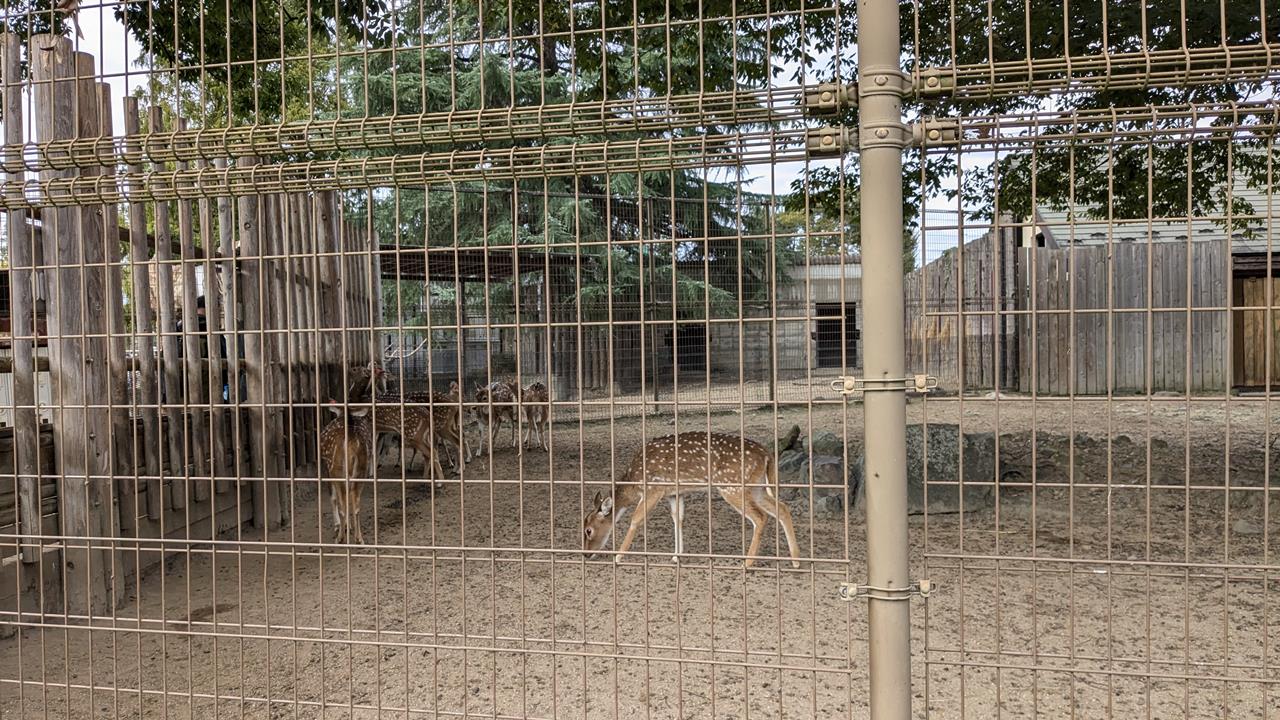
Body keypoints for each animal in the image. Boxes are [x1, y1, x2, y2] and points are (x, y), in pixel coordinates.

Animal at [318, 399, 376, 540]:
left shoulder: (326, 467)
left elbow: (333, 497)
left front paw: (338, 526)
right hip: (362, 469)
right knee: (355, 503)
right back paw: (359, 538)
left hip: (336, 468)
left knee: (342, 503)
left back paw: (340, 537)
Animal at [583, 430, 798, 566]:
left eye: (588, 530)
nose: (585, 554)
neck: (634, 482)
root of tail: (767, 454)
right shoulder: (674, 493)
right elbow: (677, 519)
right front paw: (676, 556)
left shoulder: (654, 487)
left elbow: (636, 518)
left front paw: (618, 557)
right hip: (757, 486)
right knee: (782, 507)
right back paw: (796, 560)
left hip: (732, 486)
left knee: (760, 516)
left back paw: (749, 562)